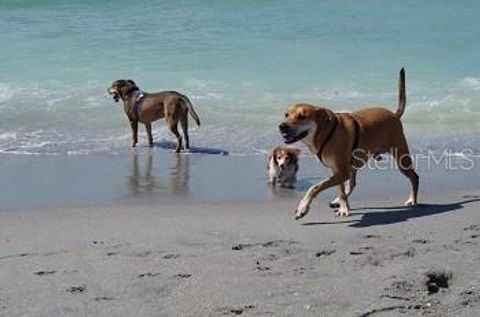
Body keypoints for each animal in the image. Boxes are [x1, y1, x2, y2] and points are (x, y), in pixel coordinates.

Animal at [280, 68, 418, 218]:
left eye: (301, 116)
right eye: (286, 115)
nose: (282, 126)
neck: (325, 133)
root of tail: (394, 114)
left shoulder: (341, 172)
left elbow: (315, 187)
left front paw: (303, 207)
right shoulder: (337, 170)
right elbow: (340, 190)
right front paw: (343, 206)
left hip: (401, 160)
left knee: (414, 177)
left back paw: (413, 200)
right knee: (350, 185)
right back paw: (339, 201)